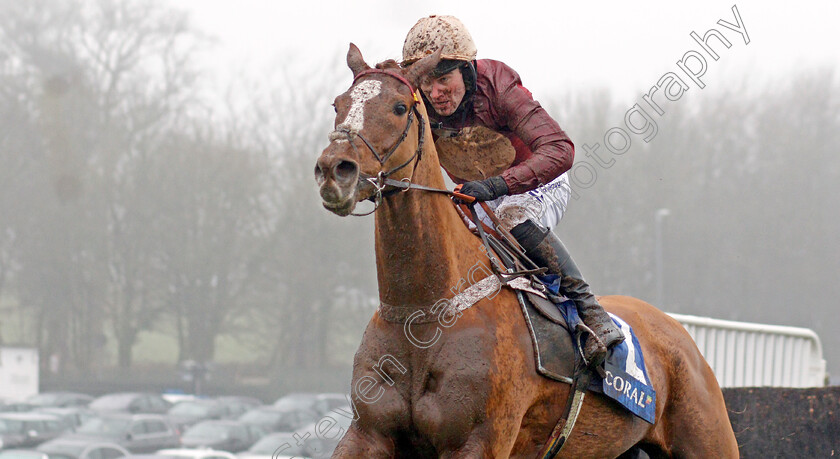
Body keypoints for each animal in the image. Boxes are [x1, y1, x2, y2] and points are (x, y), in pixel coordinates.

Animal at [314, 44, 736, 459]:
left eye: (399, 107)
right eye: (338, 104)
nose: (334, 170)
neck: (423, 312)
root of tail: (681, 335)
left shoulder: (477, 442)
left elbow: (553, 151)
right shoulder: (367, 433)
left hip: (708, 438)